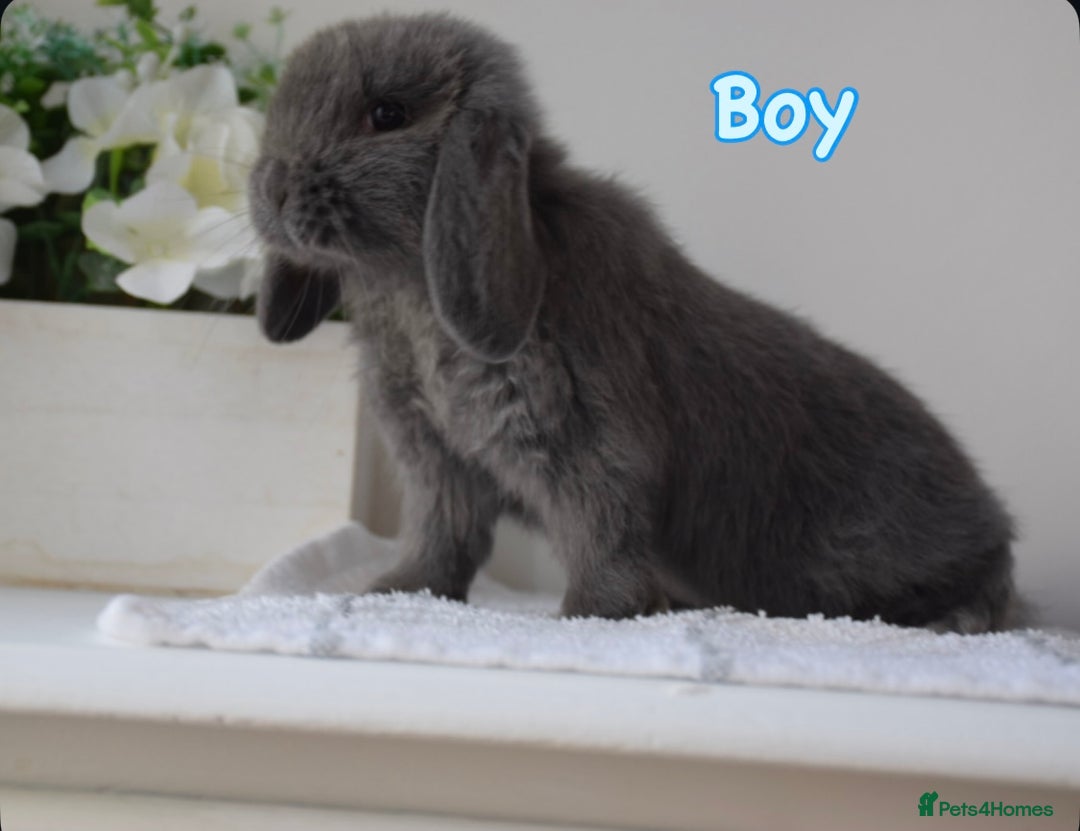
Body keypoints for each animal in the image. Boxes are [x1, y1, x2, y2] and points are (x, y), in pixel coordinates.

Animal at [249, 12, 1019, 632]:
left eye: (387, 113)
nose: (274, 187)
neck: (413, 294)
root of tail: (994, 518)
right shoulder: (440, 464)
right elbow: (442, 540)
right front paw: (393, 590)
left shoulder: (588, 440)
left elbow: (602, 525)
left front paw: (592, 614)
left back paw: (952, 617)